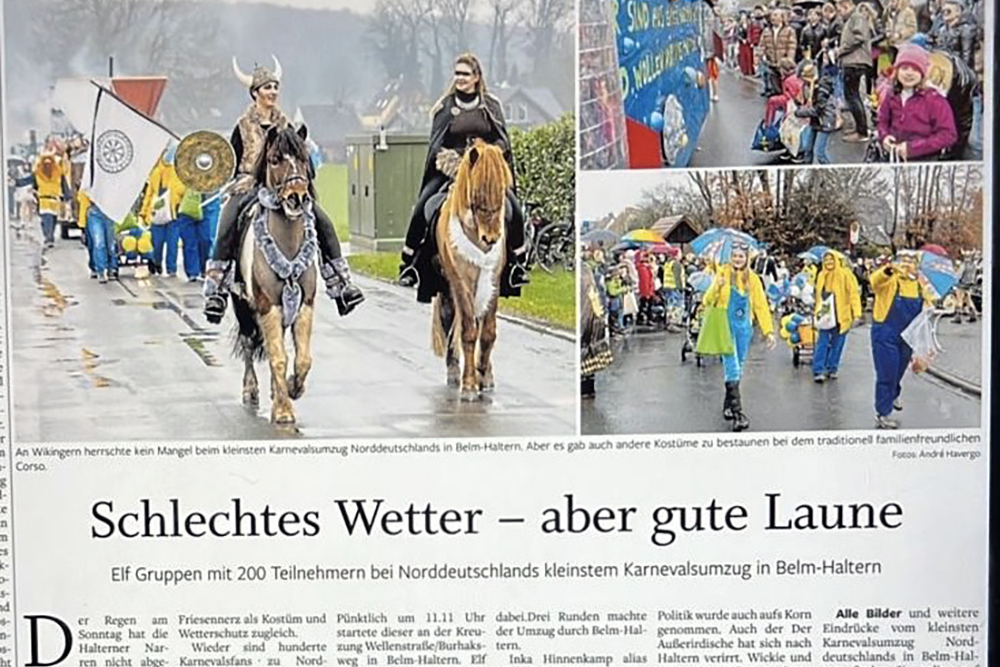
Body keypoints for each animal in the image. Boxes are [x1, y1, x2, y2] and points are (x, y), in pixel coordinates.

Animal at [230, 125, 316, 426]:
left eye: (303, 158)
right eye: (275, 159)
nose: (297, 197)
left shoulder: (304, 304)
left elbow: (302, 359)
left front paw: (291, 388)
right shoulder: (267, 306)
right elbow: (278, 357)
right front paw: (283, 411)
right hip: (242, 306)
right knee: (249, 343)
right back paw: (252, 389)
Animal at [430, 140, 512, 402]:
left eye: (502, 190)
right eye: (477, 193)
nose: (491, 238)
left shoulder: (493, 281)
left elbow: (487, 333)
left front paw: (483, 376)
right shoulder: (460, 283)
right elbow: (467, 332)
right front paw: (468, 385)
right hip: (448, 289)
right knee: (450, 323)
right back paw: (454, 372)